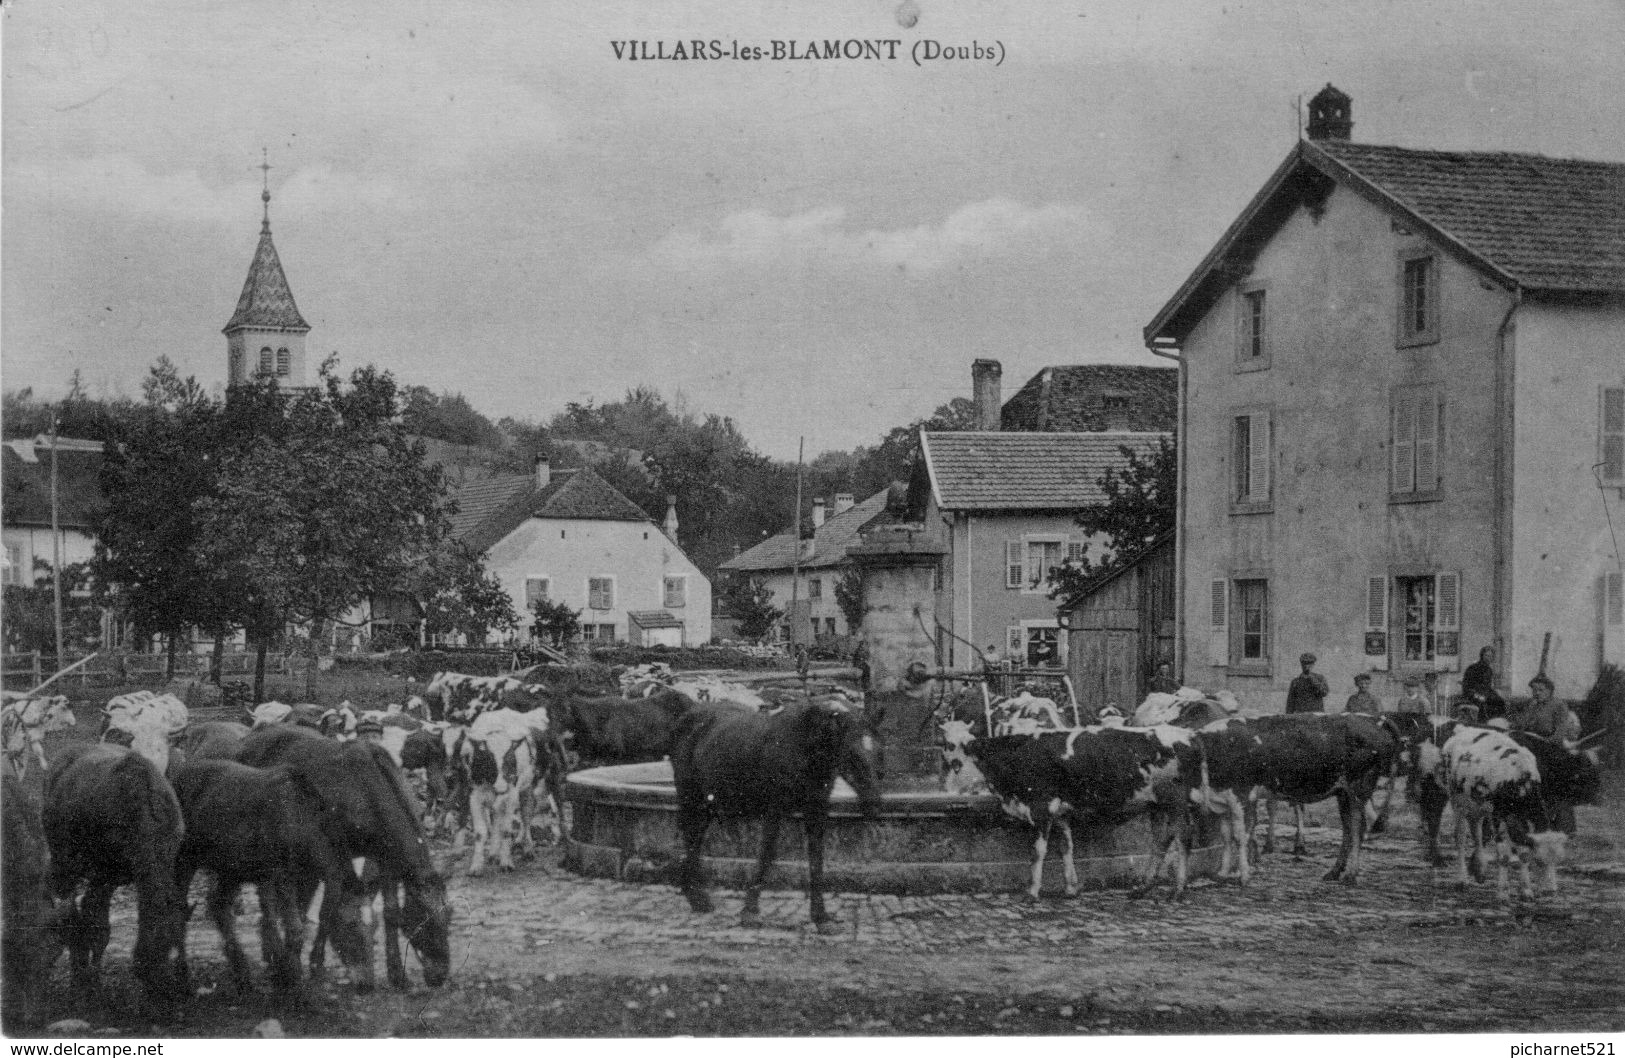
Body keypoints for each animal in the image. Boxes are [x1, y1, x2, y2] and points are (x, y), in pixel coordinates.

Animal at [41, 741, 188, 1014]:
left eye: (176, 943)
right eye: (155, 949)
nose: (167, 995)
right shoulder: (104, 873)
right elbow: (94, 925)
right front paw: (87, 986)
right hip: (64, 861)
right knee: (61, 900)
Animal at [237, 724, 451, 988]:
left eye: (449, 916)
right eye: (426, 919)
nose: (440, 974)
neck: (368, 790)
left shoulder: (386, 858)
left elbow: (389, 912)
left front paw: (395, 972)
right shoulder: (335, 857)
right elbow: (328, 910)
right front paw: (316, 964)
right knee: (268, 896)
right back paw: (274, 950)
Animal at [669, 702, 884, 936]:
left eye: (879, 751)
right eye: (852, 754)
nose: (874, 806)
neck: (804, 746)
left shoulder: (816, 809)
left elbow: (816, 857)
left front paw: (821, 918)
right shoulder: (774, 808)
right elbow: (767, 853)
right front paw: (750, 912)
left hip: (708, 801)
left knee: (695, 839)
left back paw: (697, 898)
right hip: (691, 795)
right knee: (691, 836)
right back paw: (697, 897)